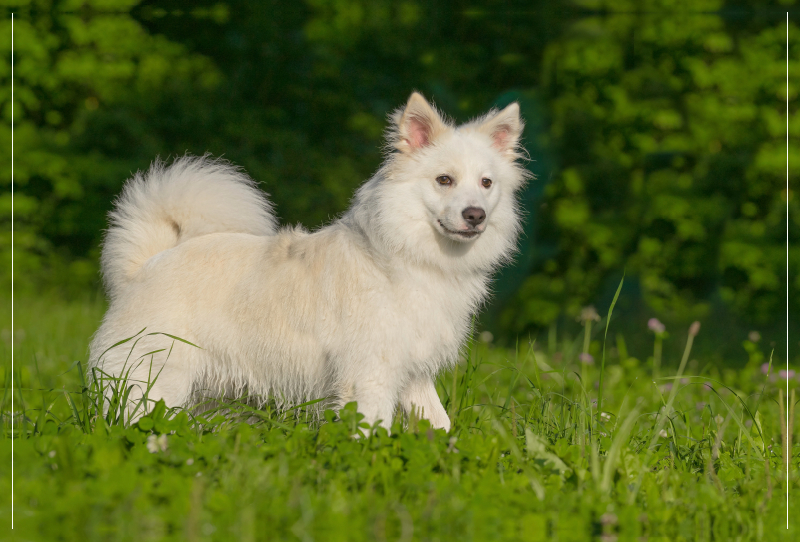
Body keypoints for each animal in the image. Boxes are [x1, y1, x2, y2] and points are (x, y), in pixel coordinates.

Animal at [90, 94, 528, 434]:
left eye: (486, 183)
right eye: (444, 180)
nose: (475, 215)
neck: (408, 256)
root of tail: (145, 265)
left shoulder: (413, 375)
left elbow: (441, 425)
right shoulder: (370, 375)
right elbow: (373, 431)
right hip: (156, 382)